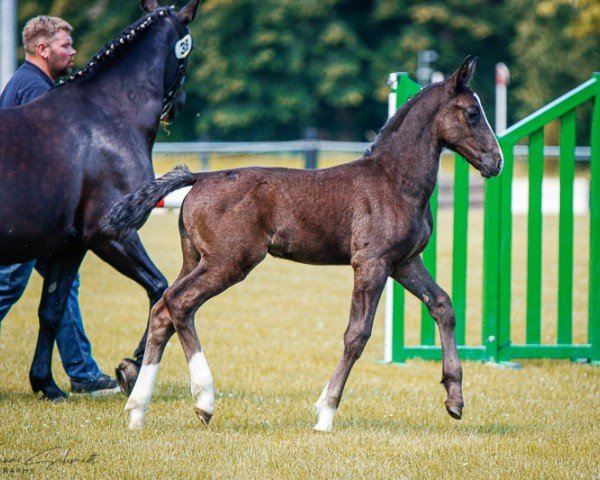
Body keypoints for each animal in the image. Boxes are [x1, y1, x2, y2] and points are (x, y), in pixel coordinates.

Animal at [0, 0, 202, 400]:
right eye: (187, 51)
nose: (181, 103)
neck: (106, 116)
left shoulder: (70, 246)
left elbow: (52, 311)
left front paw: (46, 384)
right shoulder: (110, 236)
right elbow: (160, 288)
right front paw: (133, 367)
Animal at [102, 56, 502, 432]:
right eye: (472, 113)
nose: (496, 162)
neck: (394, 182)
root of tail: (200, 177)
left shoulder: (404, 262)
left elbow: (443, 306)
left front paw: (455, 400)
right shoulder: (371, 263)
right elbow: (357, 334)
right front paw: (326, 412)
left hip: (196, 259)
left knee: (162, 311)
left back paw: (137, 410)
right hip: (229, 262)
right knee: (180, 303)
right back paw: (204, 400)